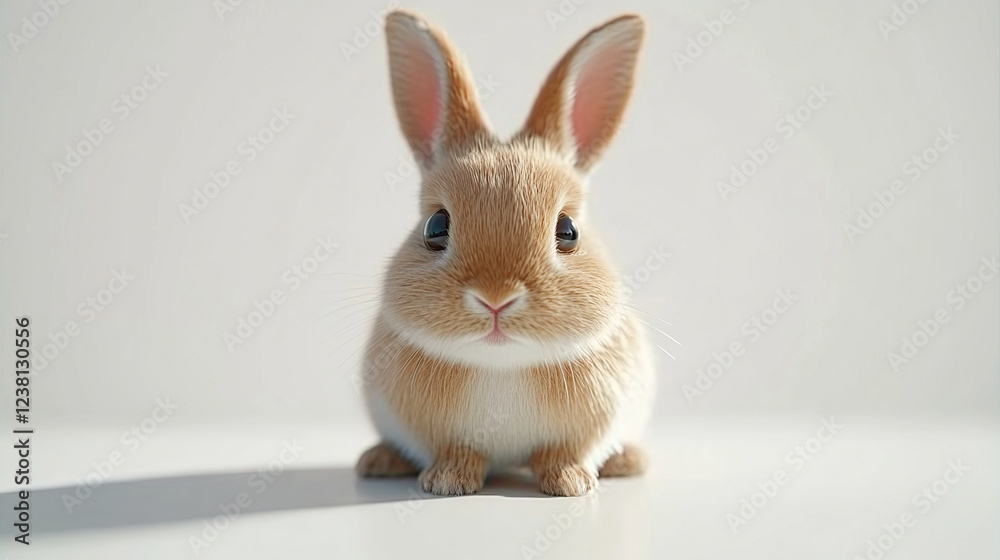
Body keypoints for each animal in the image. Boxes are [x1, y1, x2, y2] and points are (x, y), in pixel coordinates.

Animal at [355, 9, 655, 497]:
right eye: (435, 226)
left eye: (568, 231)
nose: (496, 299)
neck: (502, 364)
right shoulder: (445, 434)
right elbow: (460, 452)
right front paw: (447, 481)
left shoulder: (584, 427)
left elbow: (560, 454)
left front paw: (571, 483)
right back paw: (379, 460)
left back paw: (627, 462)